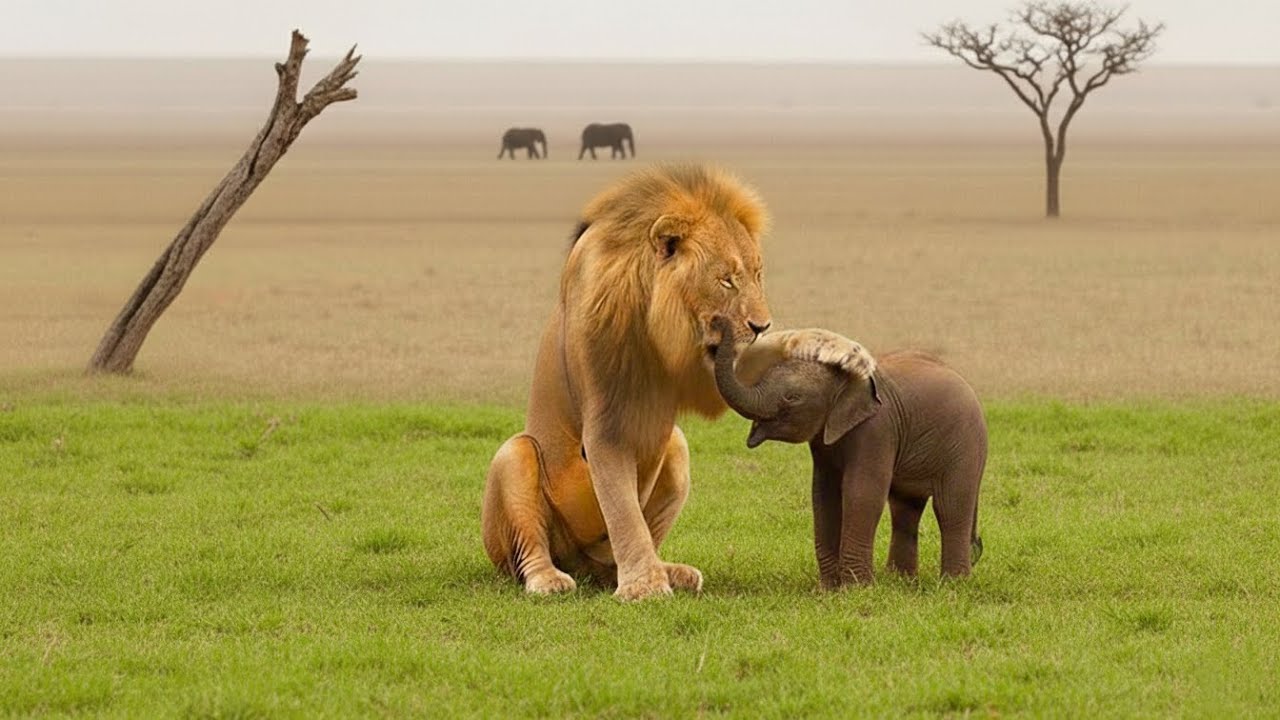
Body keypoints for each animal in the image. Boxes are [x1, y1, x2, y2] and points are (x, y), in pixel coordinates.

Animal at [481, 164, 773, 601]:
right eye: (726, 280)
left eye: (757, 275)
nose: (762, 327)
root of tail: (583, 565)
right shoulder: (606, 427)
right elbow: (623, 509)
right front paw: (645, 587)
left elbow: (634, 514)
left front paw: (647, 577)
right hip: (516, 457)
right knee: (531, 544)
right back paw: (548, 579)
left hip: (677, 448)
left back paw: (667, 570)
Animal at [709, 317, 987, 589]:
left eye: (792, 398)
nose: (719, 320)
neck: (844, 378)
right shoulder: (825, 439)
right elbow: (824, 494)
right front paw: (829, 589)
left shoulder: (877, 428)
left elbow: (862, 492)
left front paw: (857, 589)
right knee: (905, 510)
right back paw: (901, 581)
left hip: (964, 445)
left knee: (950, 506)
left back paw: (952, 584)